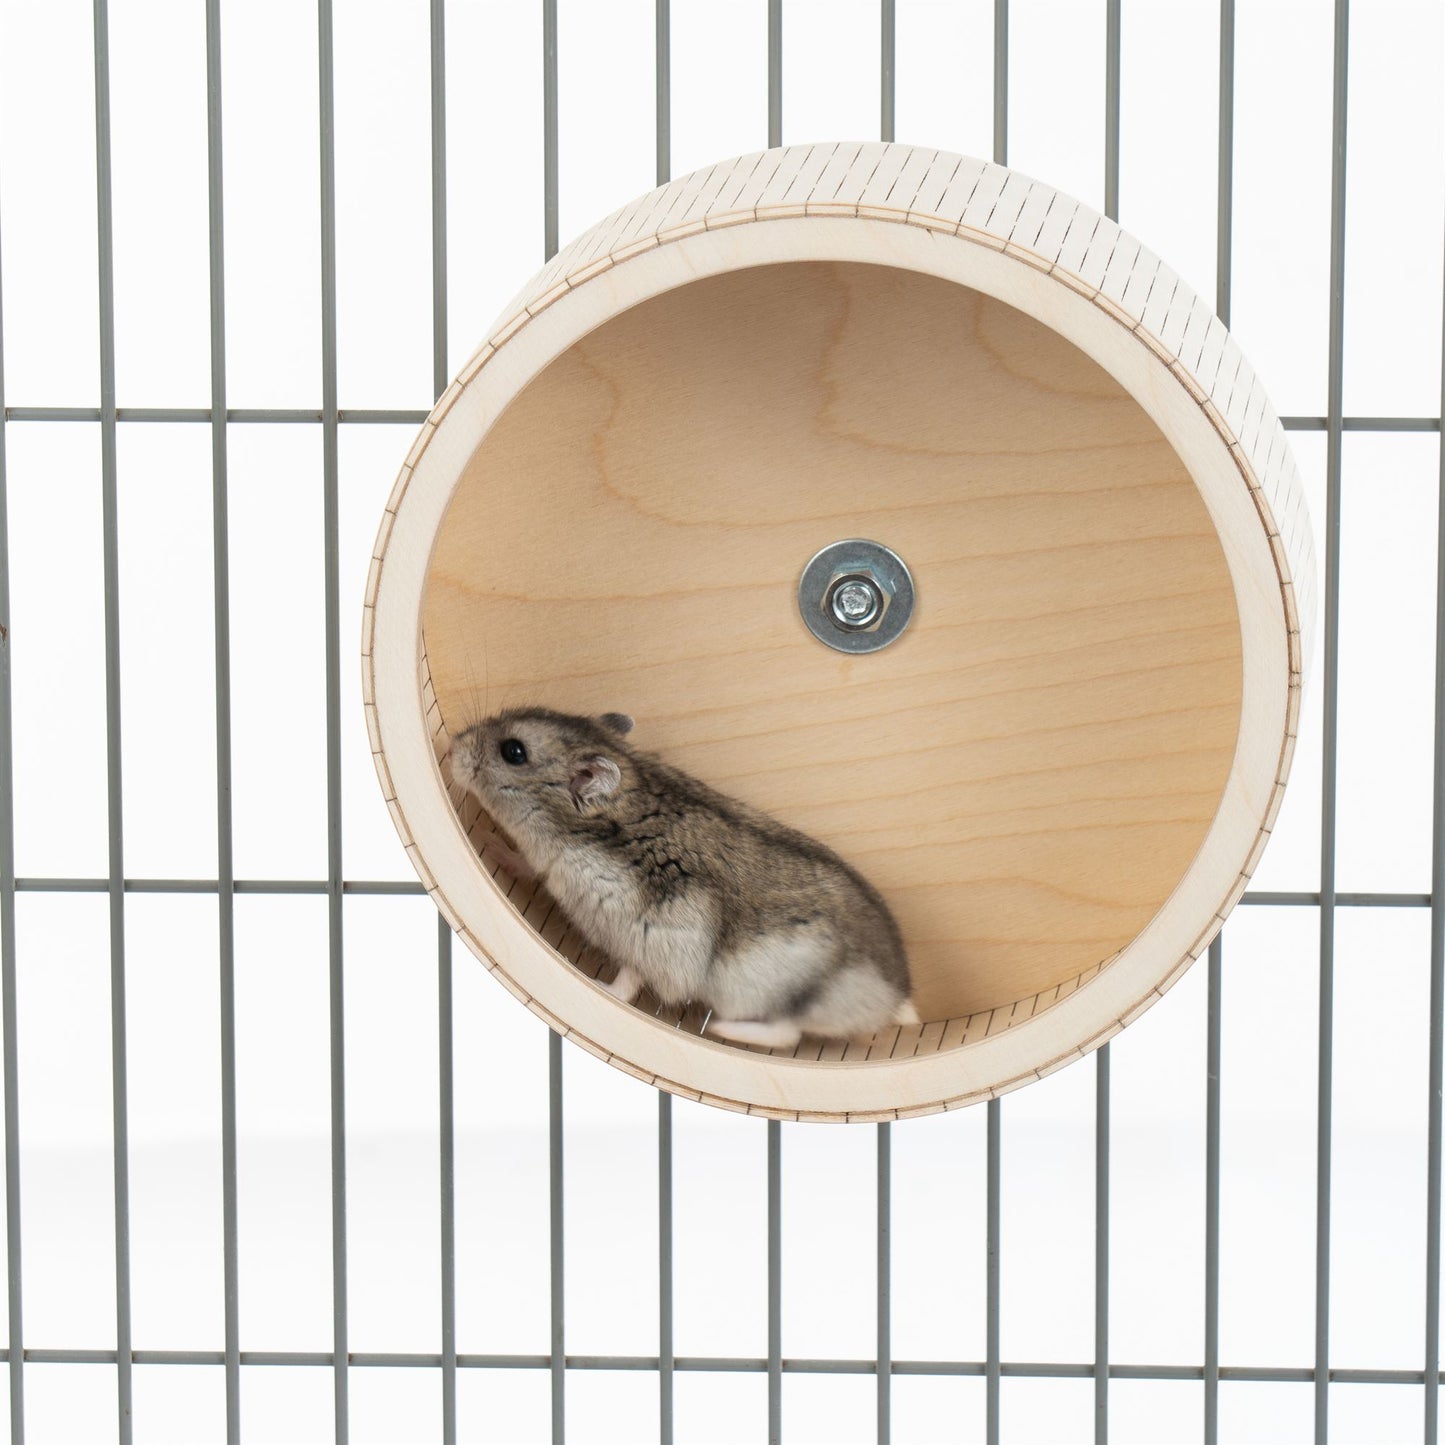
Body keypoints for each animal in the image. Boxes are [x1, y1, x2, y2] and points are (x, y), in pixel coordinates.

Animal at [446, 708, 919, 1049]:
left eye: (514, 752)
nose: (451, 747)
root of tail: (898, 1000)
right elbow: (525, 864)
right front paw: (490, 844)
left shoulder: (645, 944)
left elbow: (625, 986)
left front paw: (596, 985)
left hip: (770, 994)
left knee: (786, 1033)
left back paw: (721, 1030)